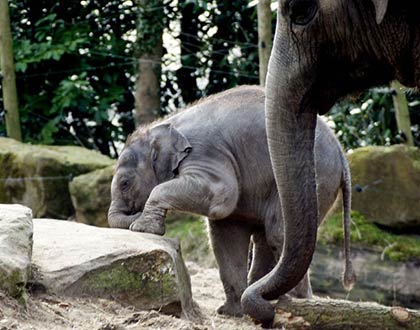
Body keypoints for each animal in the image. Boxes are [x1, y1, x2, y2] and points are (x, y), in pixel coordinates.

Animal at [108, 85, 354, 318]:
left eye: (125, 184)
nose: (134, 215)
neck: (167, 124)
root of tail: (341, 152)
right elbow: (225, 233)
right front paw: (231, 313)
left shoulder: (206, 152)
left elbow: (222, 195)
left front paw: (142, 228)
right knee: (263, 237)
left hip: (317, 178)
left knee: (279, 233)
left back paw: (294, 302)